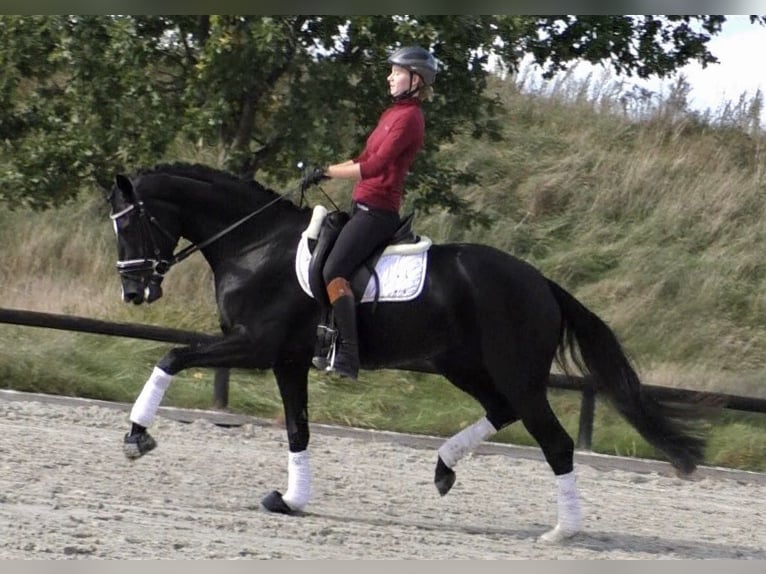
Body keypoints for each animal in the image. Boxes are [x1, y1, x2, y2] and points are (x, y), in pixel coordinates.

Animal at [108, 163, 708, 544]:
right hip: (462, 365)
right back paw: (444, 468)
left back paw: (562, 531)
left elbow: (171, 357)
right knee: (502, 411)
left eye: (131, 221)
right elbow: (298, 429)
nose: (134, 293)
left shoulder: (256, 346)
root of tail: (541, 282)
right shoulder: (286, 360)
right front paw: (293, 500)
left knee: (554, 441)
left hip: (514, 372)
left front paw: (137, 437)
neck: (254, 244)